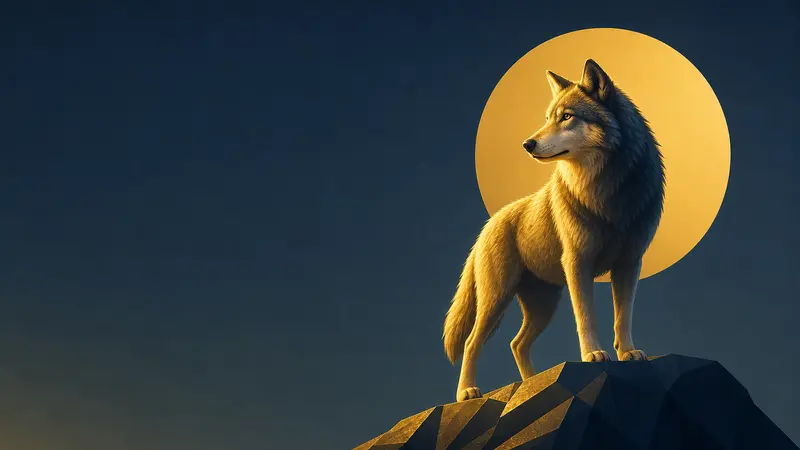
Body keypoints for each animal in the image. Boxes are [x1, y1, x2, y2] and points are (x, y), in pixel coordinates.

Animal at [443, 59, 665, 402]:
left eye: (567, 116)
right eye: (548, 117)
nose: (527, 144)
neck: (607, 193)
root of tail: (489, 223)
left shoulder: (630, 263)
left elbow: (623, 316)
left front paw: (628, 352)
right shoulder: (577, 263)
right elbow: (586, 317)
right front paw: (593, 354)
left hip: (542, 306)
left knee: (516, 344)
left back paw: (530, 385)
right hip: (497, 300)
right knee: (472, 342)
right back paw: (468, 392)